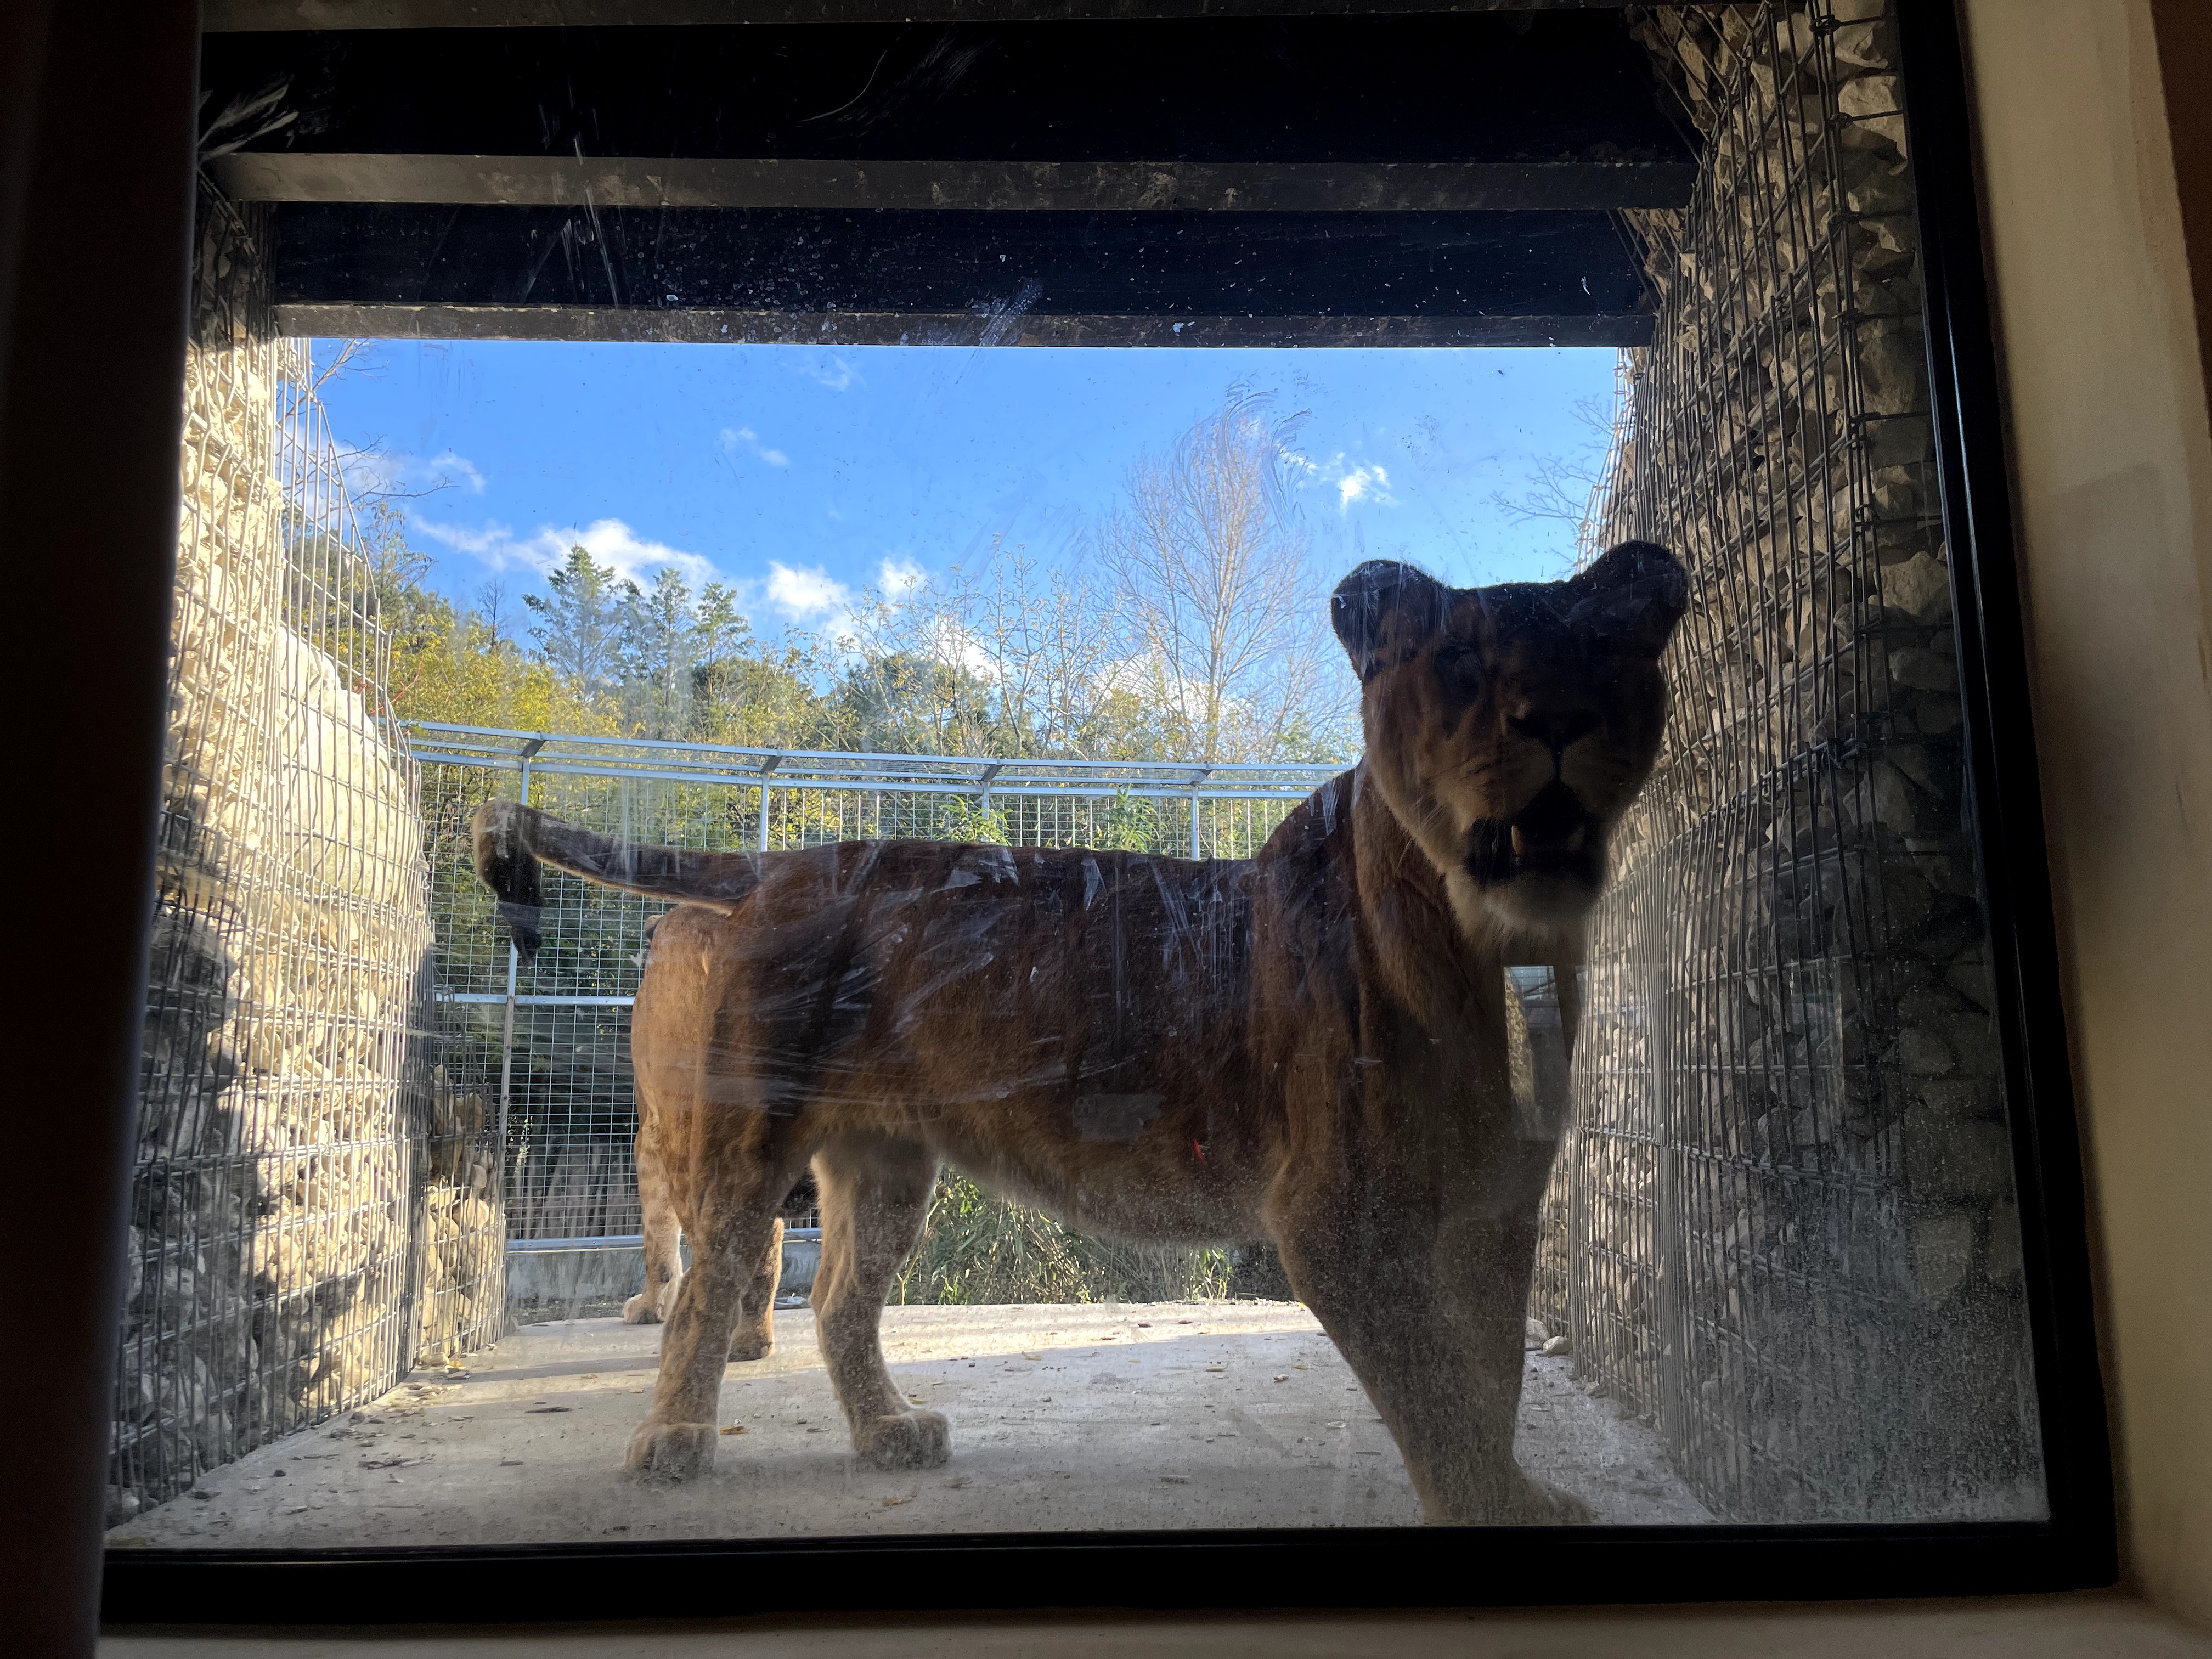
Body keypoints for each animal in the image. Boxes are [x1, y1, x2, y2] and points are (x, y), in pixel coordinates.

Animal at [472, 541, 1686, 1525]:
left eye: (1600, 657)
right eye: (1463, 667)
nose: (1554, 718)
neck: (1491, 948)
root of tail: (778, 862)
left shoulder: (1496, 1207)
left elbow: (1494, 1374)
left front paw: (1522, 1492)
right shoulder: (1339, 1218)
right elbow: (1438, 1386)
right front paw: (1493, 1506)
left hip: (886, 1159)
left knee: (838, 1301)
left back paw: (889, 1433)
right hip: (741, 1134)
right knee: (713, 1276)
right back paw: (673, 1438)